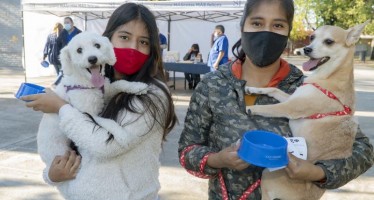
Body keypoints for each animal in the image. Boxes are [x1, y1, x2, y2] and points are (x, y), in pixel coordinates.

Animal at [245, 20, 368, 200]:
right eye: (312, 37)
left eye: (329, 42)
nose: (307, 49)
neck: (330, 75)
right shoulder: (291, 98)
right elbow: (273, 90)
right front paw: (252, 89)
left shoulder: (290, 107)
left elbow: (269, 107)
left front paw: (250, 108)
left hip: (267, 176)